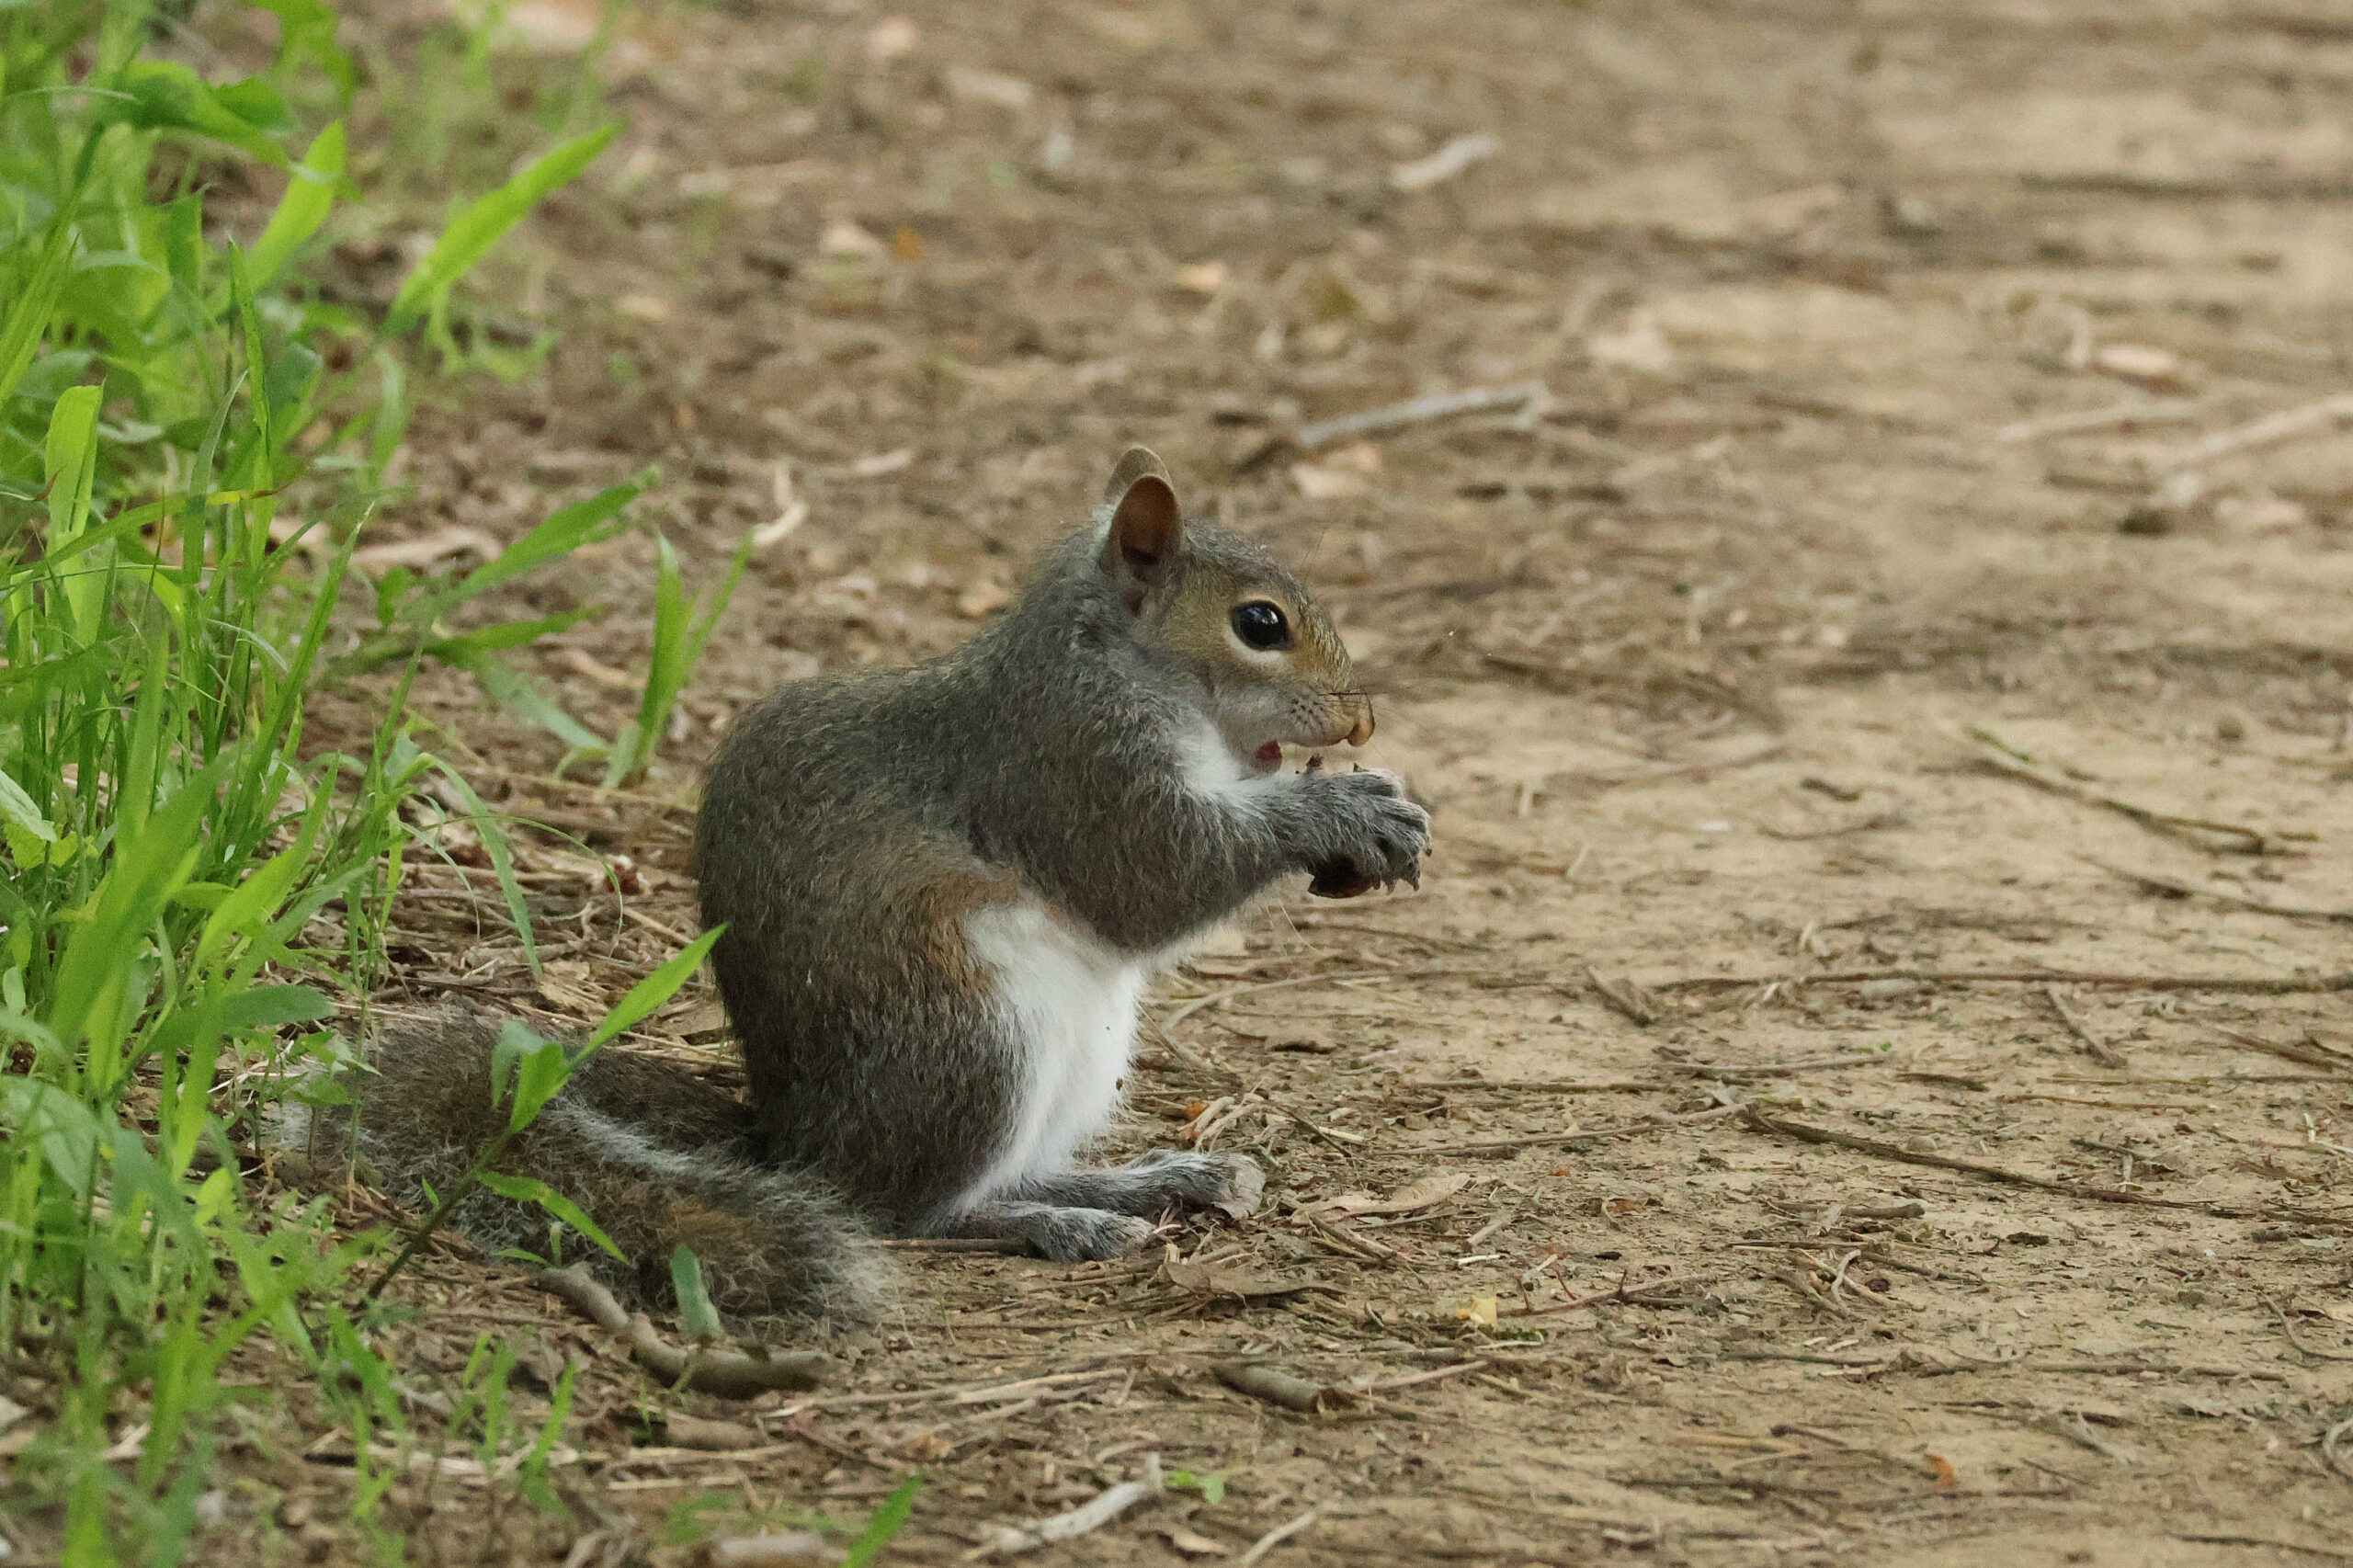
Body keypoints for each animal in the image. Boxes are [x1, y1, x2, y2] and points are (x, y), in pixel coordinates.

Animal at [311, 447, 1430, 1320]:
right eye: (1259, 623)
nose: (1362, 719)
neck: (1118, 665)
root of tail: (798, 1145)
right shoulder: (1067, 763)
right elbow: (1151, 876)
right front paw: (1340, 811)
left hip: (1077, 1056)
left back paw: (1149, 1178)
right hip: (975, 1036)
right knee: (911, 1210)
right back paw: (1054, 1221)